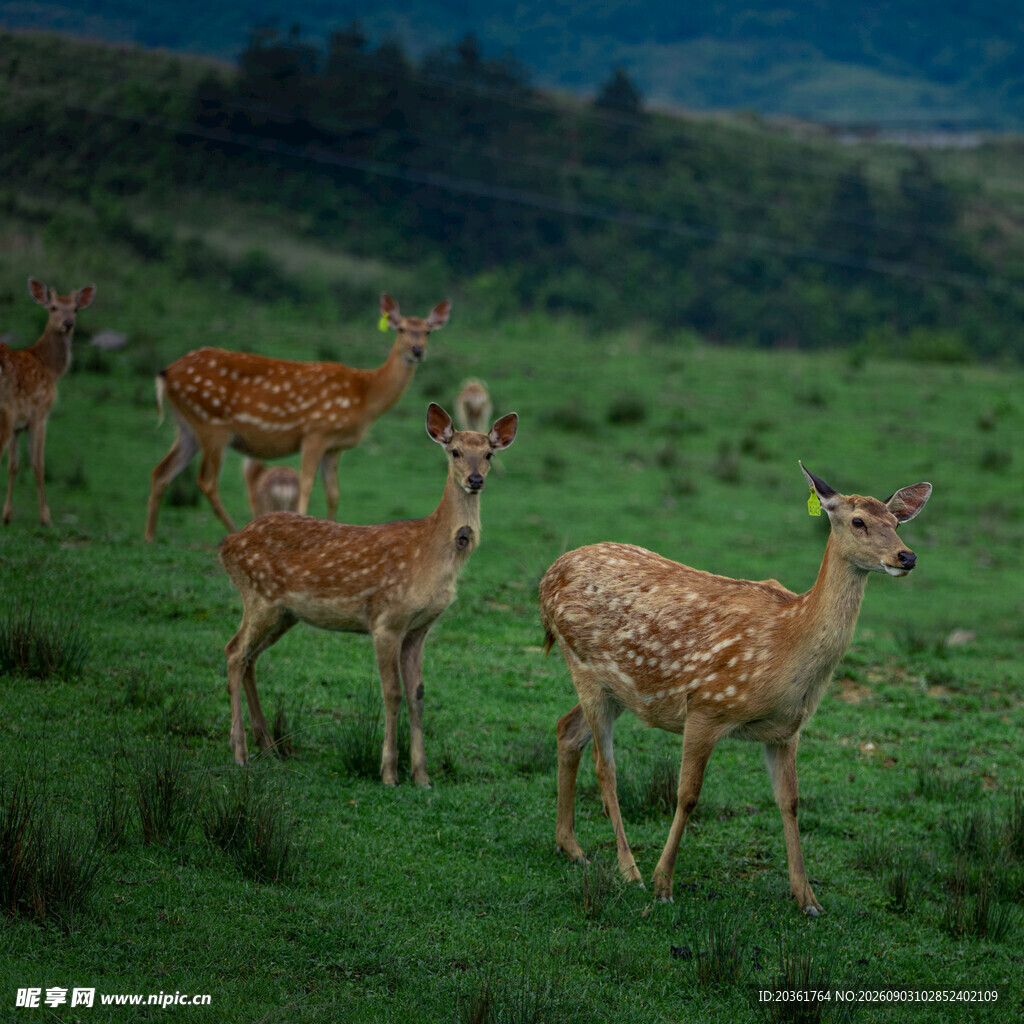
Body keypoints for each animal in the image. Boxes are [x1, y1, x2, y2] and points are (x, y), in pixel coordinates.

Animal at [0, 278, 96, 526]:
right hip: (5, 410)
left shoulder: (19, 425)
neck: (50, 367)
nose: (68, 323)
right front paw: (45, 517)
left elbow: (13, 465)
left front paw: (7, 515)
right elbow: (38, 464)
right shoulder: (40, 413)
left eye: (75, 308)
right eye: (53, 307)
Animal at [144, 294, 451, 542]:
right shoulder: (316, 431)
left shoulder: (335, 446)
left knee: (161, 470)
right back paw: (232, 531)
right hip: (212, 424)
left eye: (427, 331)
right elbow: (306, 484)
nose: (417, 350)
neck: (365, 397)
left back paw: (150, 536)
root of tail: (165, 374)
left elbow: (333, 492)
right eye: (401, 329)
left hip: (188, 426)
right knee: (206, 481)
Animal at [219, 402, 518, 785]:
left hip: (283, 613)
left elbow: (418, 695)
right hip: (260, 596)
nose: (475, 480)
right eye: (455, 451)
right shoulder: (386, 619)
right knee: (234, 652)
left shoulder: (419, 629)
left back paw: (268, 747)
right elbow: (392, 692)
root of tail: (228, 545)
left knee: (249, 658)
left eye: (489, 454)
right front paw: (389, 772)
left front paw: (422, 776)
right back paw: (240, 752)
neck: (433, 554)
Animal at [539, 462, 931, 915]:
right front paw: (662, 884)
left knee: (567, 730)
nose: (907, 556)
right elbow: (687, 795)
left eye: (897, 522)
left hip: (617, 687)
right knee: (607, 768)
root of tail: (547, 578)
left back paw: (570, 846)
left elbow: (790, 802)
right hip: (582, 662)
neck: (785, 647)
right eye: (858, 521)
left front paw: (807, 897)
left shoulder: (786, 731)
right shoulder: (706, 706)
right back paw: (629, 869)